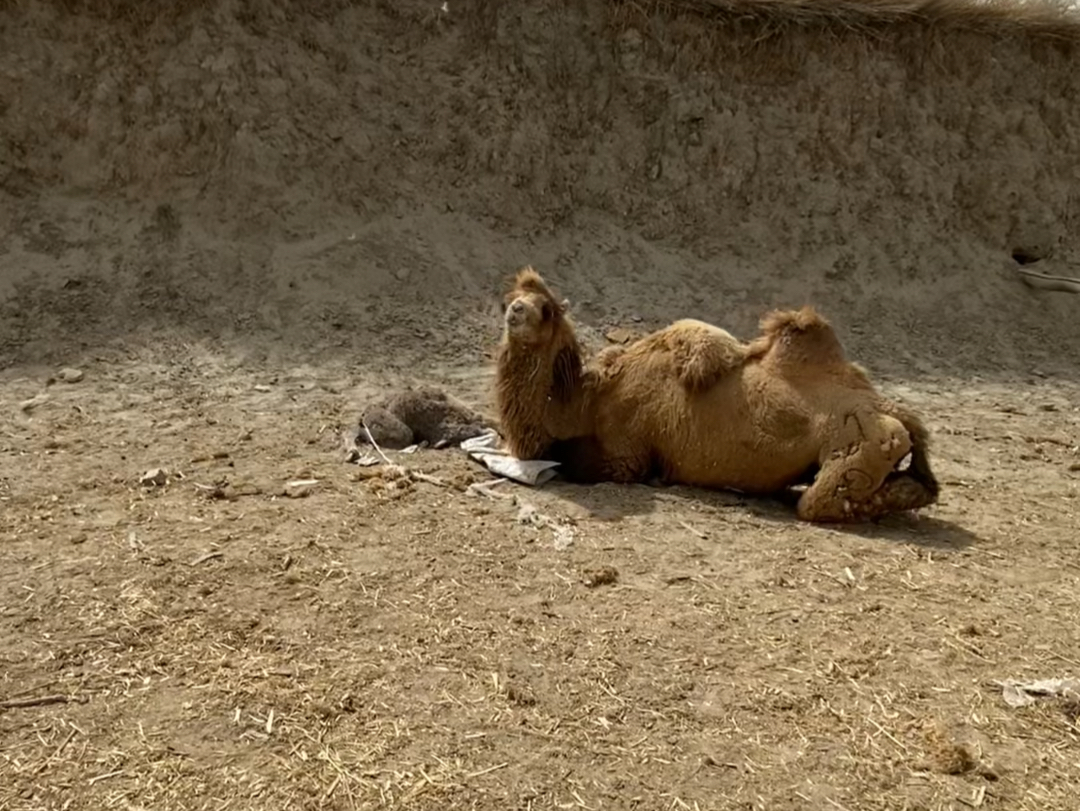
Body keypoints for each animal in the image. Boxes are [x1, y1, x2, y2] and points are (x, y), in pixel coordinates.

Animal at [494, 266, 941, 526]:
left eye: (546, 309)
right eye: (512, 299)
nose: (516, 311)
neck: (586, 403)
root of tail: (889, 408)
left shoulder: (626, 458)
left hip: (862, 442)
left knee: (819, 502)